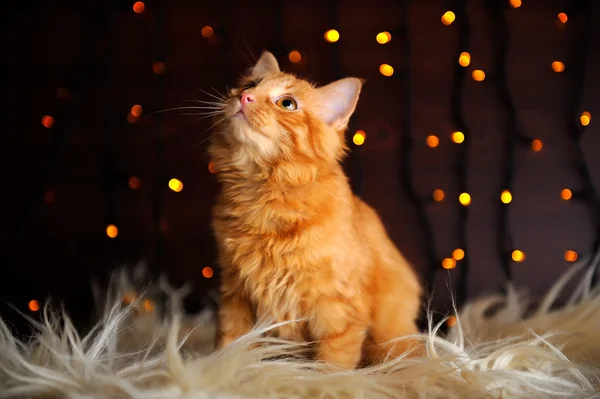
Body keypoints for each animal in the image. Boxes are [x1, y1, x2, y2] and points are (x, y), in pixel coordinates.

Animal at [209, 51, 424, 370]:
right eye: (249, 84)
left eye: (287, 103)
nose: (245, 97)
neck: (265, 196)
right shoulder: (234, 295)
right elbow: (230, 344)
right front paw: (223, 372)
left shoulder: (337, 307)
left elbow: (331, 364)